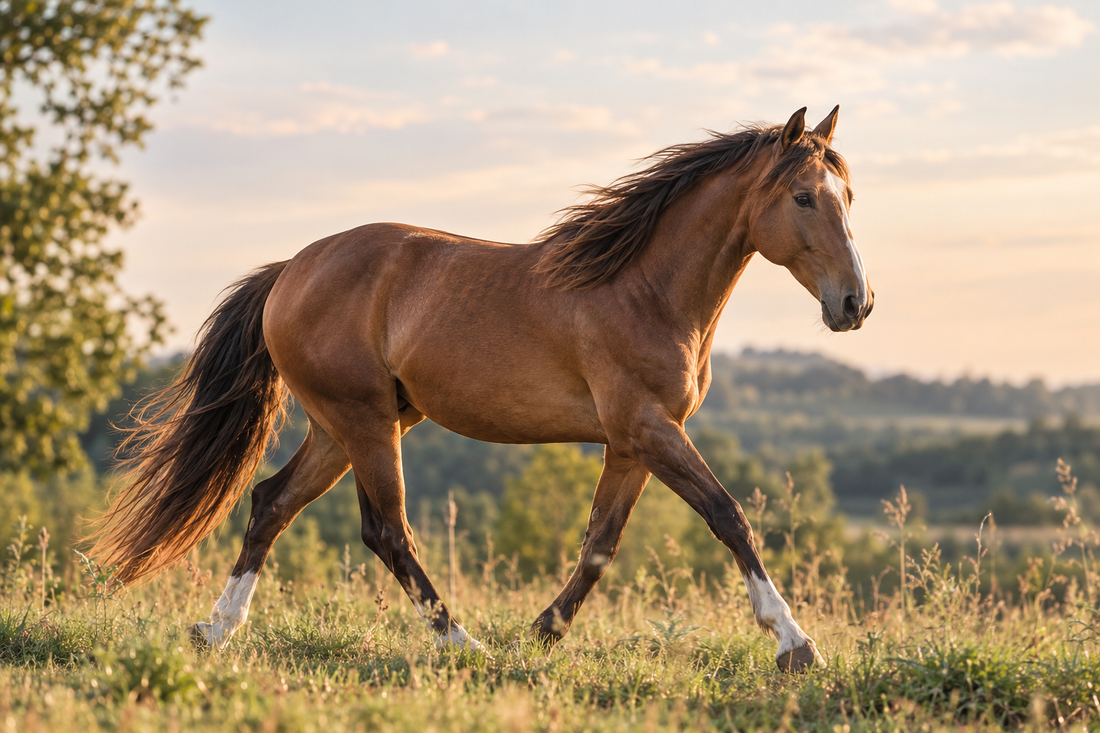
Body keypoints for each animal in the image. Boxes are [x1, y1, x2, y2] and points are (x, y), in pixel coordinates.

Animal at [91, 106, 872, 673]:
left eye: (849, 196)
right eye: (805, 197)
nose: (855, 304)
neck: (643, 290)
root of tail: (291, 270)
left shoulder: (630, 443)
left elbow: (600, 544)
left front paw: (544, 632)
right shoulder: (649, 427)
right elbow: (729, 516)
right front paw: (796, 645)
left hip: (343, 427)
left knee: (270, 504)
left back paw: (217, 630)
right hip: (364, 421)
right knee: (386, 529)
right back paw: (461, 642)